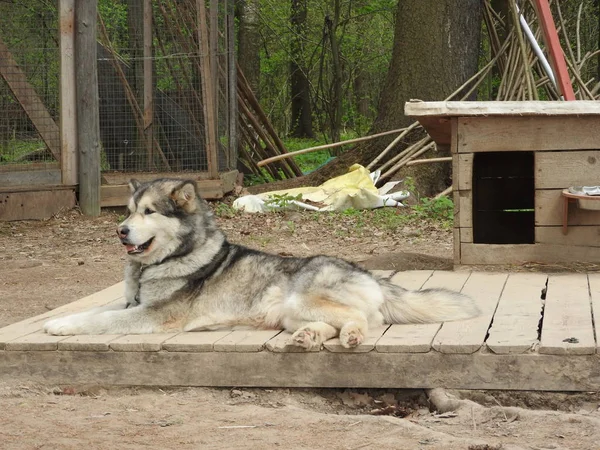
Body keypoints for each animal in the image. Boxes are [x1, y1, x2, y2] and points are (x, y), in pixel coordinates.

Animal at [44, 178, 480, 350]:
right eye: (129, 211)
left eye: (149, 212)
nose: (120, 231)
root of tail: (367, 272)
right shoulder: (132, 303)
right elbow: (97, 310)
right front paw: (61, 318)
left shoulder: (151, 315)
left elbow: (99, 319)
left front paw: (62, 325)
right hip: (291, 312)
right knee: (332, 322)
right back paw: (309, 337)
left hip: (306, 298)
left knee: (363, 318)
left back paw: (352, 336)